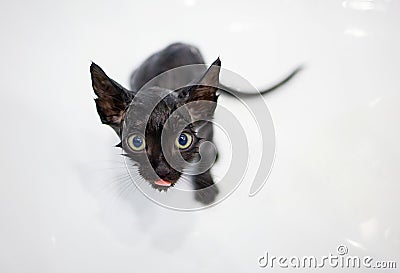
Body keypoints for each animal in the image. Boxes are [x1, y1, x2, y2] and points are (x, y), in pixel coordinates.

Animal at [88, 42, 300, 203]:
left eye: (183, 140)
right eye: (137, 142)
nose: (162, 171)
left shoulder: (206, 129)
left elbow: (205, 153)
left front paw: (205, 187)